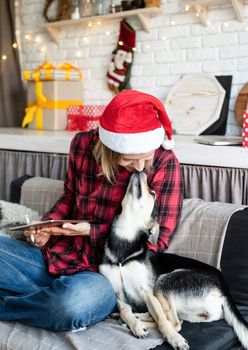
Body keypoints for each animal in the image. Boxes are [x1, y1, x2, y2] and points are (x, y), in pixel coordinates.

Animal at [100, 171, 248, 348]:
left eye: (152, 193)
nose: (140, 171)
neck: (124, 245)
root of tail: (224, 290)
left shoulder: (148, 292)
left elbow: (162, 320)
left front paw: (173, 338)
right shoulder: (119, 295)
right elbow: (125, 311)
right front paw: (134, 324)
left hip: (164, 281)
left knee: (172, 321)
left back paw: (144, 320)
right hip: (192, 312)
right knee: (174, 319)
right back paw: (133, 319)